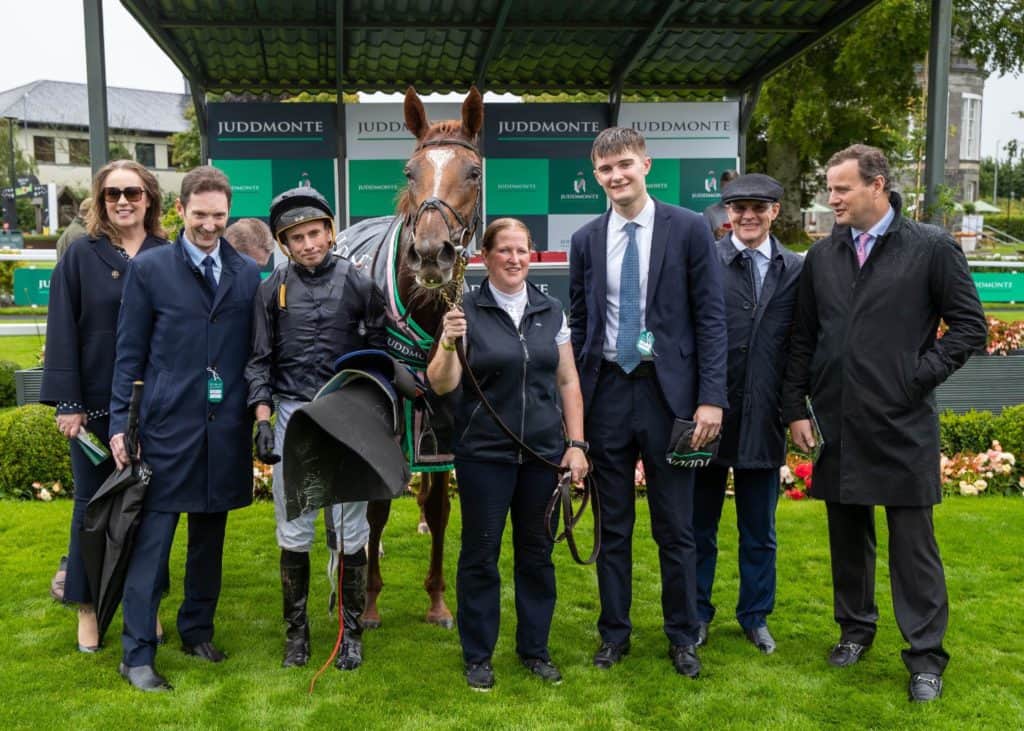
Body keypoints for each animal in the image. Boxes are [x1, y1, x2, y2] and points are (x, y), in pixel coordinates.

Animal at [344, 88, 483, 630]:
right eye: (408, 171)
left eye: (473, 172)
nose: (429, 254)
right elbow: (377, 506)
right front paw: (370, 603)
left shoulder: (442, 410)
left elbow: (441, 503)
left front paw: (438, 601)